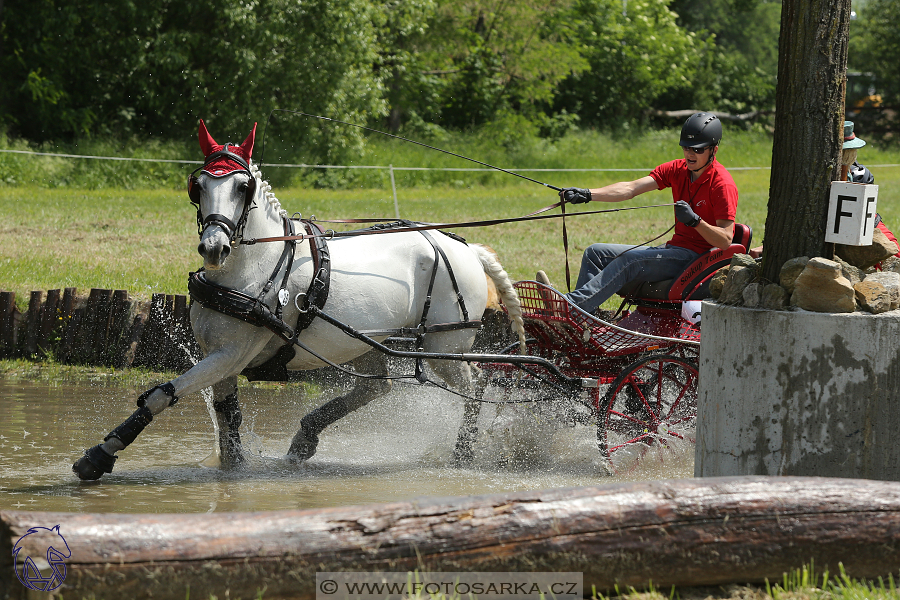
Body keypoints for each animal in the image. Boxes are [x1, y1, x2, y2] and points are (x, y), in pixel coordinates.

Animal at [77, 122, 532, 482]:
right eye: (198, 184)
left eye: (243, 186)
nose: (214, 247)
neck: (250, 268)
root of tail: (466, 247)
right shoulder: (220, 357)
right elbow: (228, 419)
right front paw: (233, 472)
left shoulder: (230, 354)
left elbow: (162, 394)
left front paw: (100, 454)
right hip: (366, 341)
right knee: (377, 385)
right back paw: (305, 438)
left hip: (443, 346)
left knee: (474, 387)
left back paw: (463, 453)